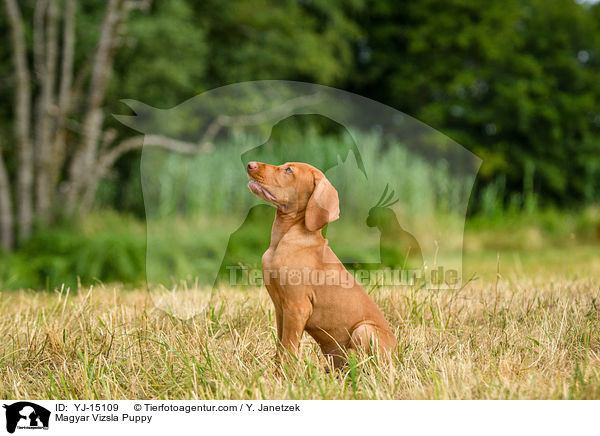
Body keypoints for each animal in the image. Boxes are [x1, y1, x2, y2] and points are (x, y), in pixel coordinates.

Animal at [246, 160, 396, 368]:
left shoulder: (297, 308)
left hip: (364, 330)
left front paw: (286, 375)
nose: (250, 164)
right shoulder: (280, 309)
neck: (283, 239)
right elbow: (280, 349)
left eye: (289, 170)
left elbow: (288, 351)